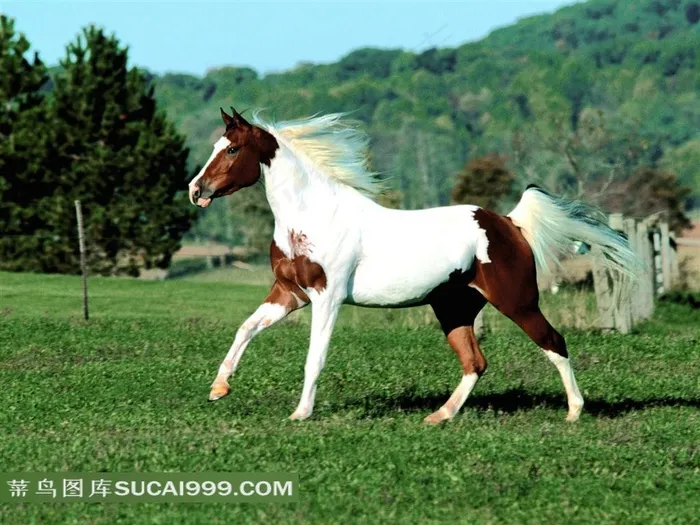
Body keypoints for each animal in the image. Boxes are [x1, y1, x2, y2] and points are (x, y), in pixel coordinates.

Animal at [188, 108, 641, 423]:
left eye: (232, 149)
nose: (196, 190)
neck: (314, 217)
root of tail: (509, 224)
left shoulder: (327, 297)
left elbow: (314, 357)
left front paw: (300, 413)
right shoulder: (290, 293)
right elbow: (245, 328)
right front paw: (218, 388)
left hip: (518, 302)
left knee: (554, 343)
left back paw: (574, 411)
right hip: (455, 308)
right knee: (475, 363)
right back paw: (439, 416)